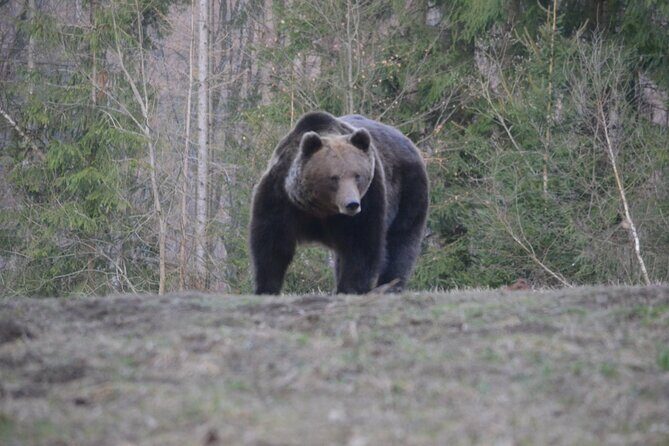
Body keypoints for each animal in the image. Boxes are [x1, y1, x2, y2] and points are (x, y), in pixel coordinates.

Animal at [249, 111, 428, 294]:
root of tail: (408, 140)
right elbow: (272, 245)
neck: (322, 208)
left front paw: (350, 288)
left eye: (357, 175)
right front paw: (266, 288)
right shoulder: (281, 196)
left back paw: (391, 285)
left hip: (409, 192)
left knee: (401, 242)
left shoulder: (368, 201)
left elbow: (361, 247)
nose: (352, 204)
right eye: (334, 177)